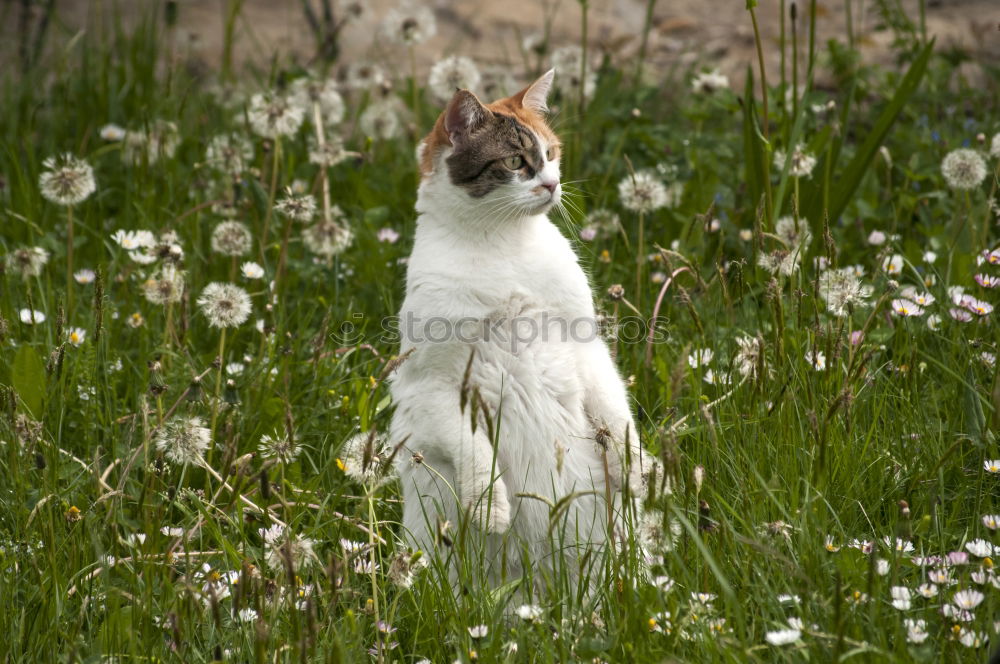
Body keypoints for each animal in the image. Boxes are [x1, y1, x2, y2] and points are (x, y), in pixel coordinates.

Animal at [386, 68, 644, 588]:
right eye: (515, 161)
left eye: (553, 153)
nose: (552, 184)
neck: (503, 244)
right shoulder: (430, 385)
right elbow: (473, 448)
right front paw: (490, 507)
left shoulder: (585, 345)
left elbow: (616, 414)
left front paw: (637, 471)